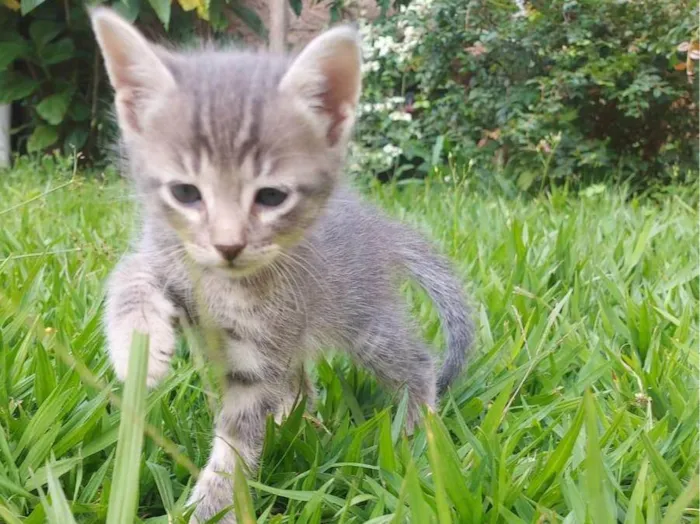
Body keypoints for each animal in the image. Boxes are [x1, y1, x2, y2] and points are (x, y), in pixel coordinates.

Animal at [90, 7, 476, 520]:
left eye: (271, 197)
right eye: (186, 192)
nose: (228, 245)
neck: (223, 284)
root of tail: (378, 226)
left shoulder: (260, 356)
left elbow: (237, 440)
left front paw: (212, 505)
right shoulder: (165, 256)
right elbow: (131, 277)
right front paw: (141, 341)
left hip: (365, 322)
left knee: (415, 362)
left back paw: (419, 432)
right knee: (302, 386)